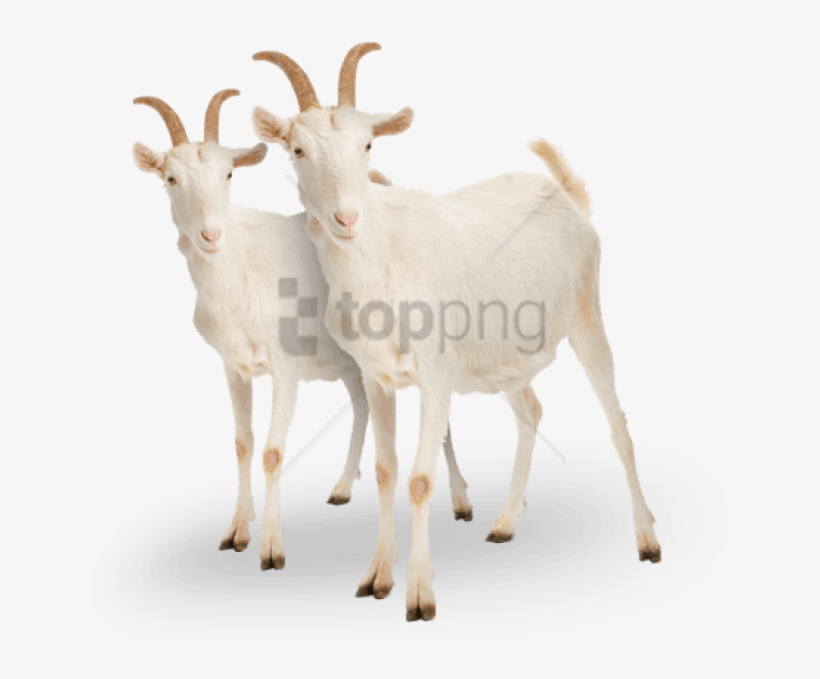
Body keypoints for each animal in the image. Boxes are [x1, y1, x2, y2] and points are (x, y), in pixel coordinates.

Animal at [132, 89, 472, 571]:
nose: (211, 235)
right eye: (170, 178)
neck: (239, 268)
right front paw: (237, 530)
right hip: (352, 365)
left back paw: (461, 501)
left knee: (442, 422)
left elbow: (273, 452)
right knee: (362, 406)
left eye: (228, 173)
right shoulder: (233, 367)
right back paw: (343, 486)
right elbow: (242, 443)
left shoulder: (285, 368)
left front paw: (272, 548)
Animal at [251, 44, 661, 620]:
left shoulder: (436, 376)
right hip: (505, 358)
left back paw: (647, 541)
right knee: (531, 412)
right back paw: (506, 521)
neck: (383, 257)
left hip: (587, 314)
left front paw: (420, 596)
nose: (347, 218)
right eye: (297, 149)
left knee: (618, 424)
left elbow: (421, 479)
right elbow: (386, 470)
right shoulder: (376, 377)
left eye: (368, 144)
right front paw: (377, 577)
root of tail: (565, 193)